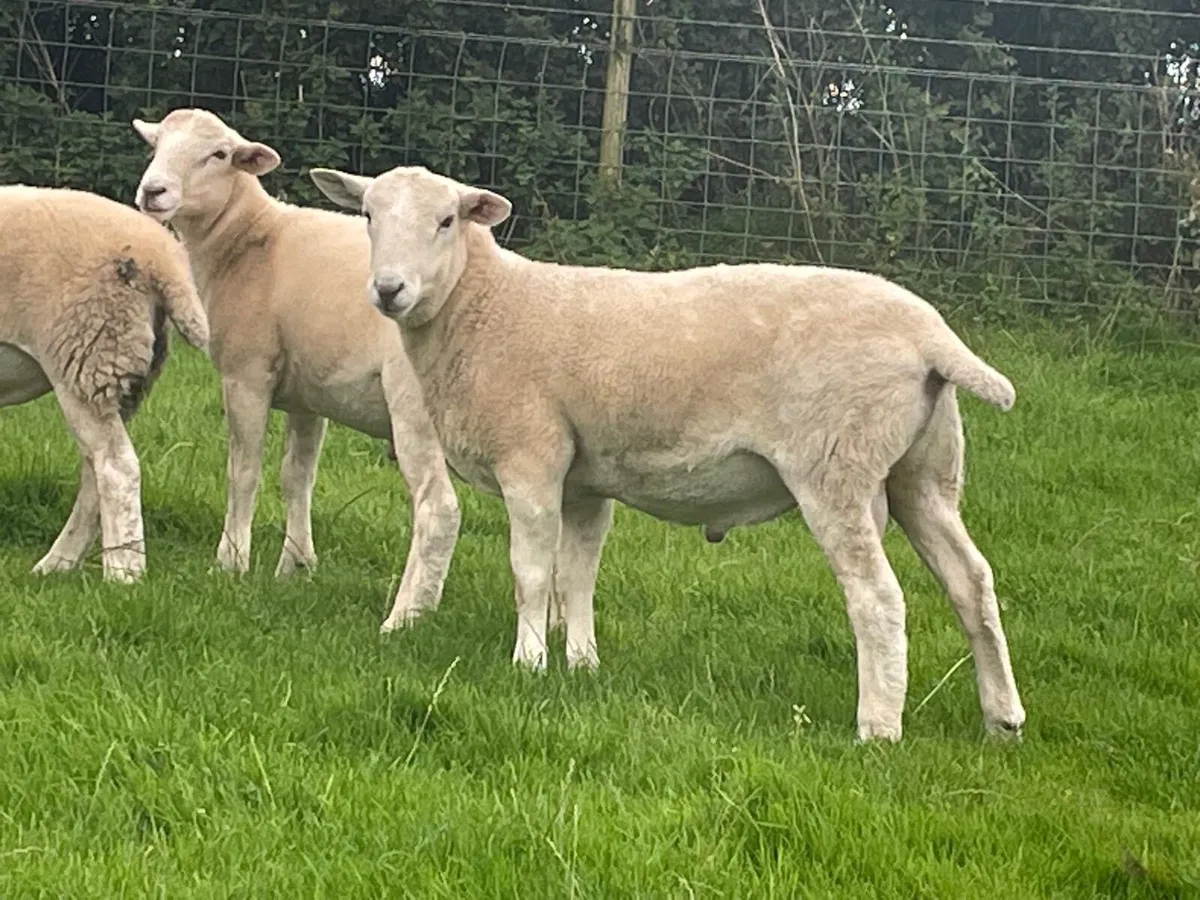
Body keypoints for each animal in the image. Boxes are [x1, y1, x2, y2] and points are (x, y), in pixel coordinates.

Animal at [0, 184, 209, 582]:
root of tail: (163, 256)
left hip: (85, 351)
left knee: (116, 467)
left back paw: (123, 574)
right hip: (122, 373)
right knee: (94, 471)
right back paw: (59, 563)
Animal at [130, 109, 459, 628]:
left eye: (219, 154)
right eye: (156, 144)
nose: (153, 191)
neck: (247, 241)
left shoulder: (246, 373)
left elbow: (242, 470)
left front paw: (230, 562)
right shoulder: (310, 395)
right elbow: (296, 476)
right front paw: (296, 565)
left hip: (415, 410)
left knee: (438, 508)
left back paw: (410, 617)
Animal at [308, 163, 1027, 743]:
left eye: (446, 220)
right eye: (368, 214)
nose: (389, 290)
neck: (485, 308)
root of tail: (931, 337)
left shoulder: (531, 456)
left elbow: (531, 573)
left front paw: (528, 664)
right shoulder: (584, 482)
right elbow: (577, 574)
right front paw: (581, 664)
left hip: (836, 466)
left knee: (878, 599)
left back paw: (878, 727)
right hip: (924, 472)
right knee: (972, 582)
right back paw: (1002, 719)